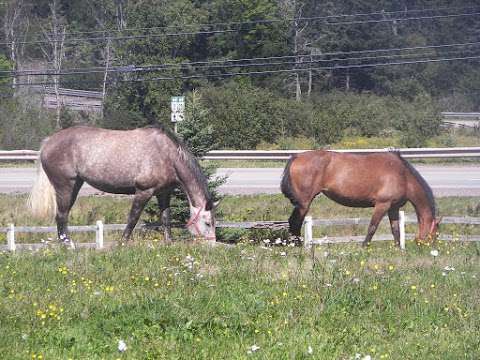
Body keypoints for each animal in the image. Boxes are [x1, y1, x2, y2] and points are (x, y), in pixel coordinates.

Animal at [29, 125, 217, 246]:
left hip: (75, 185)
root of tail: (48, 142)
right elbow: (133, 218)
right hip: (65, 186)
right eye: (208, 223)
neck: (166, 155)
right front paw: (122, 242)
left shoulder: (164, 193)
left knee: (63, 215)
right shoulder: (143, 191)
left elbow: (165, 218)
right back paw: (67, 245)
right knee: (61, 215)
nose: (212, 245)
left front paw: (168, 242)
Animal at [280, 150, 440, 248]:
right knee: (295, 222)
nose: (432, 249)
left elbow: (395, 229)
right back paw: (298, 246)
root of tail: (297, 156)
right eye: (435, 233)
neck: (403, 175)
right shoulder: (382, 205)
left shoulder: (393, 208)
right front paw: (364, 247)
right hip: (304, 203)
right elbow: (372, 227)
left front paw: (398, 249)